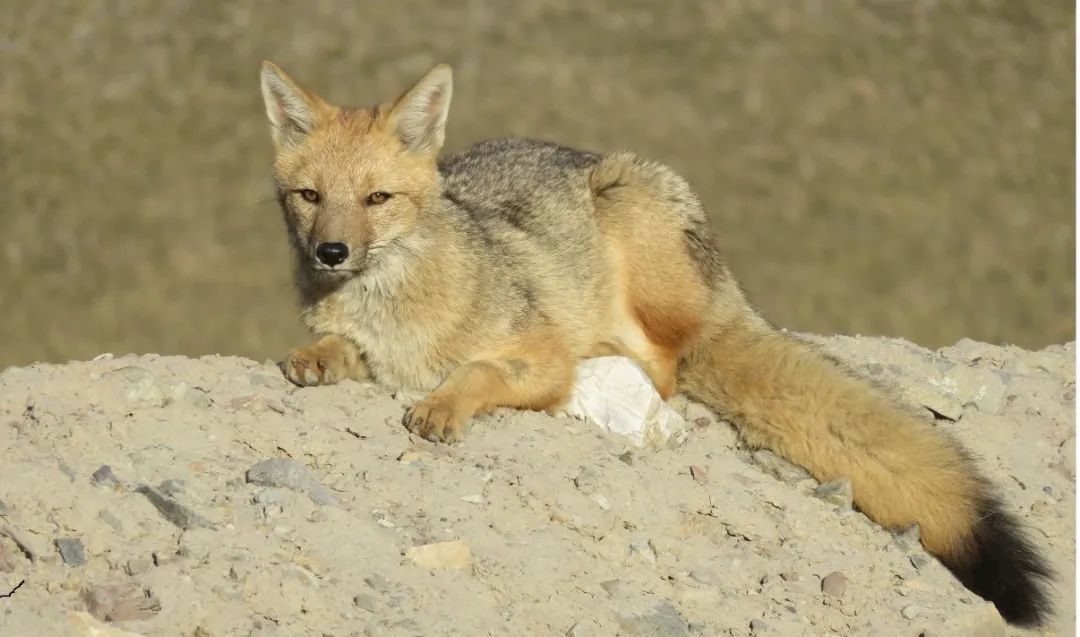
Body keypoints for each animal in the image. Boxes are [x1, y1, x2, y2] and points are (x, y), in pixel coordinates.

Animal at [259, 61, 1054, 630]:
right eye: (309, 196)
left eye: (377, 199)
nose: (331, 252)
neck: (390, 304)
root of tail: (728, 286)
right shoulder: (364, 338)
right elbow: (342, 349)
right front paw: (316, 358)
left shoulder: (540, 353)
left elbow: (480, 371)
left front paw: (443, 406)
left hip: (629, 204)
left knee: (668, 366)